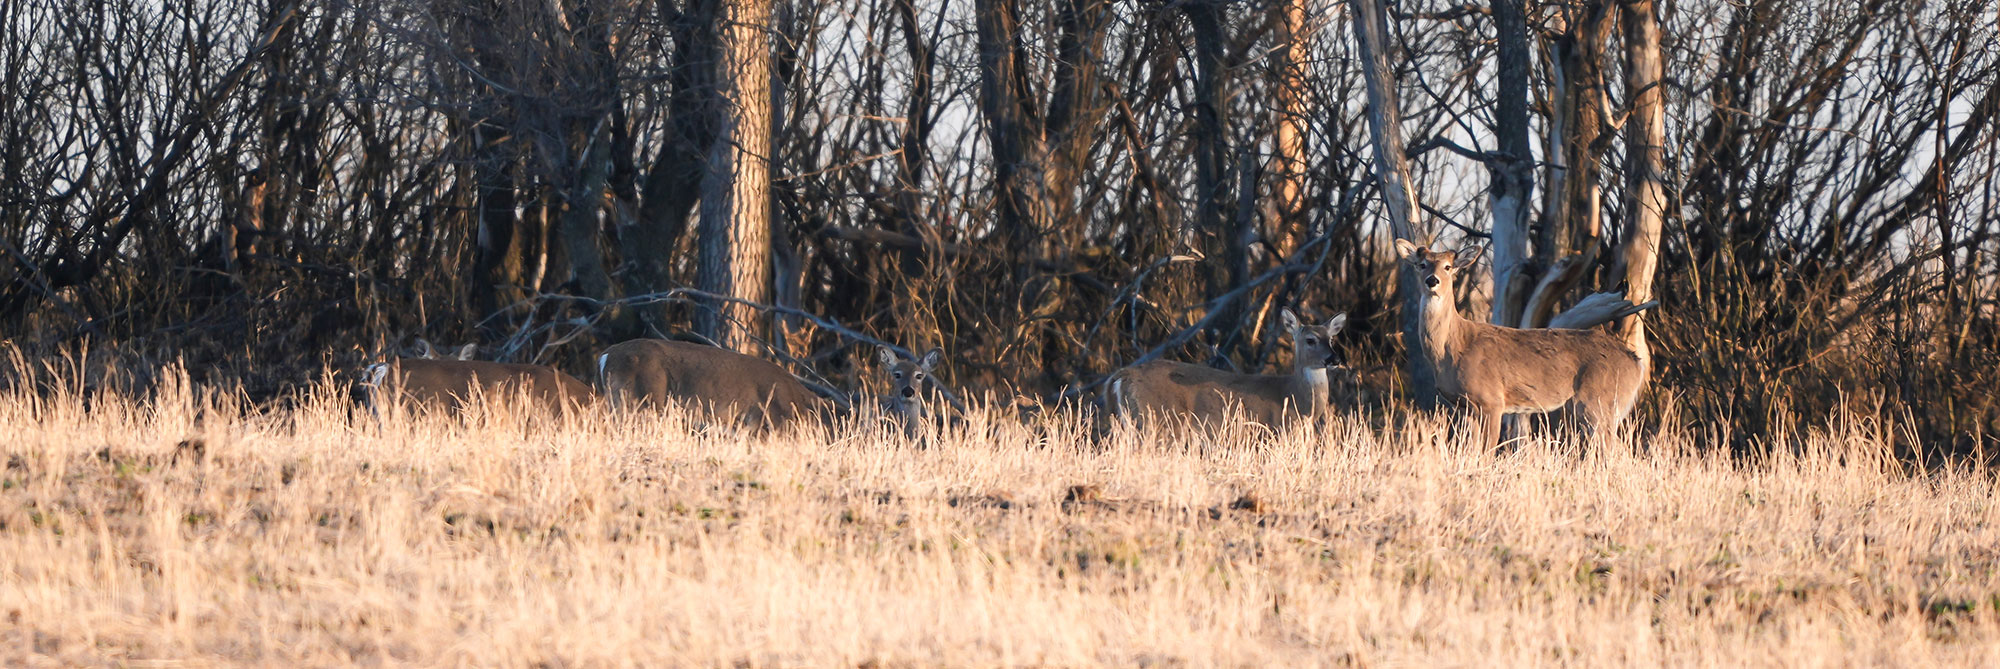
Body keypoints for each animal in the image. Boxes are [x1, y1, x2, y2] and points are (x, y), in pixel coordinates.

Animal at [1394, 238, 1646, 449]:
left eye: (1448, 267)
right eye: (1422, 264)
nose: (1432, 281)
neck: (1454, 347)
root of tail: (1636, 362)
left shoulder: (1492, 400)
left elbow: (1487, 451)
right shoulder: (1466, 407)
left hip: (1600, 402)